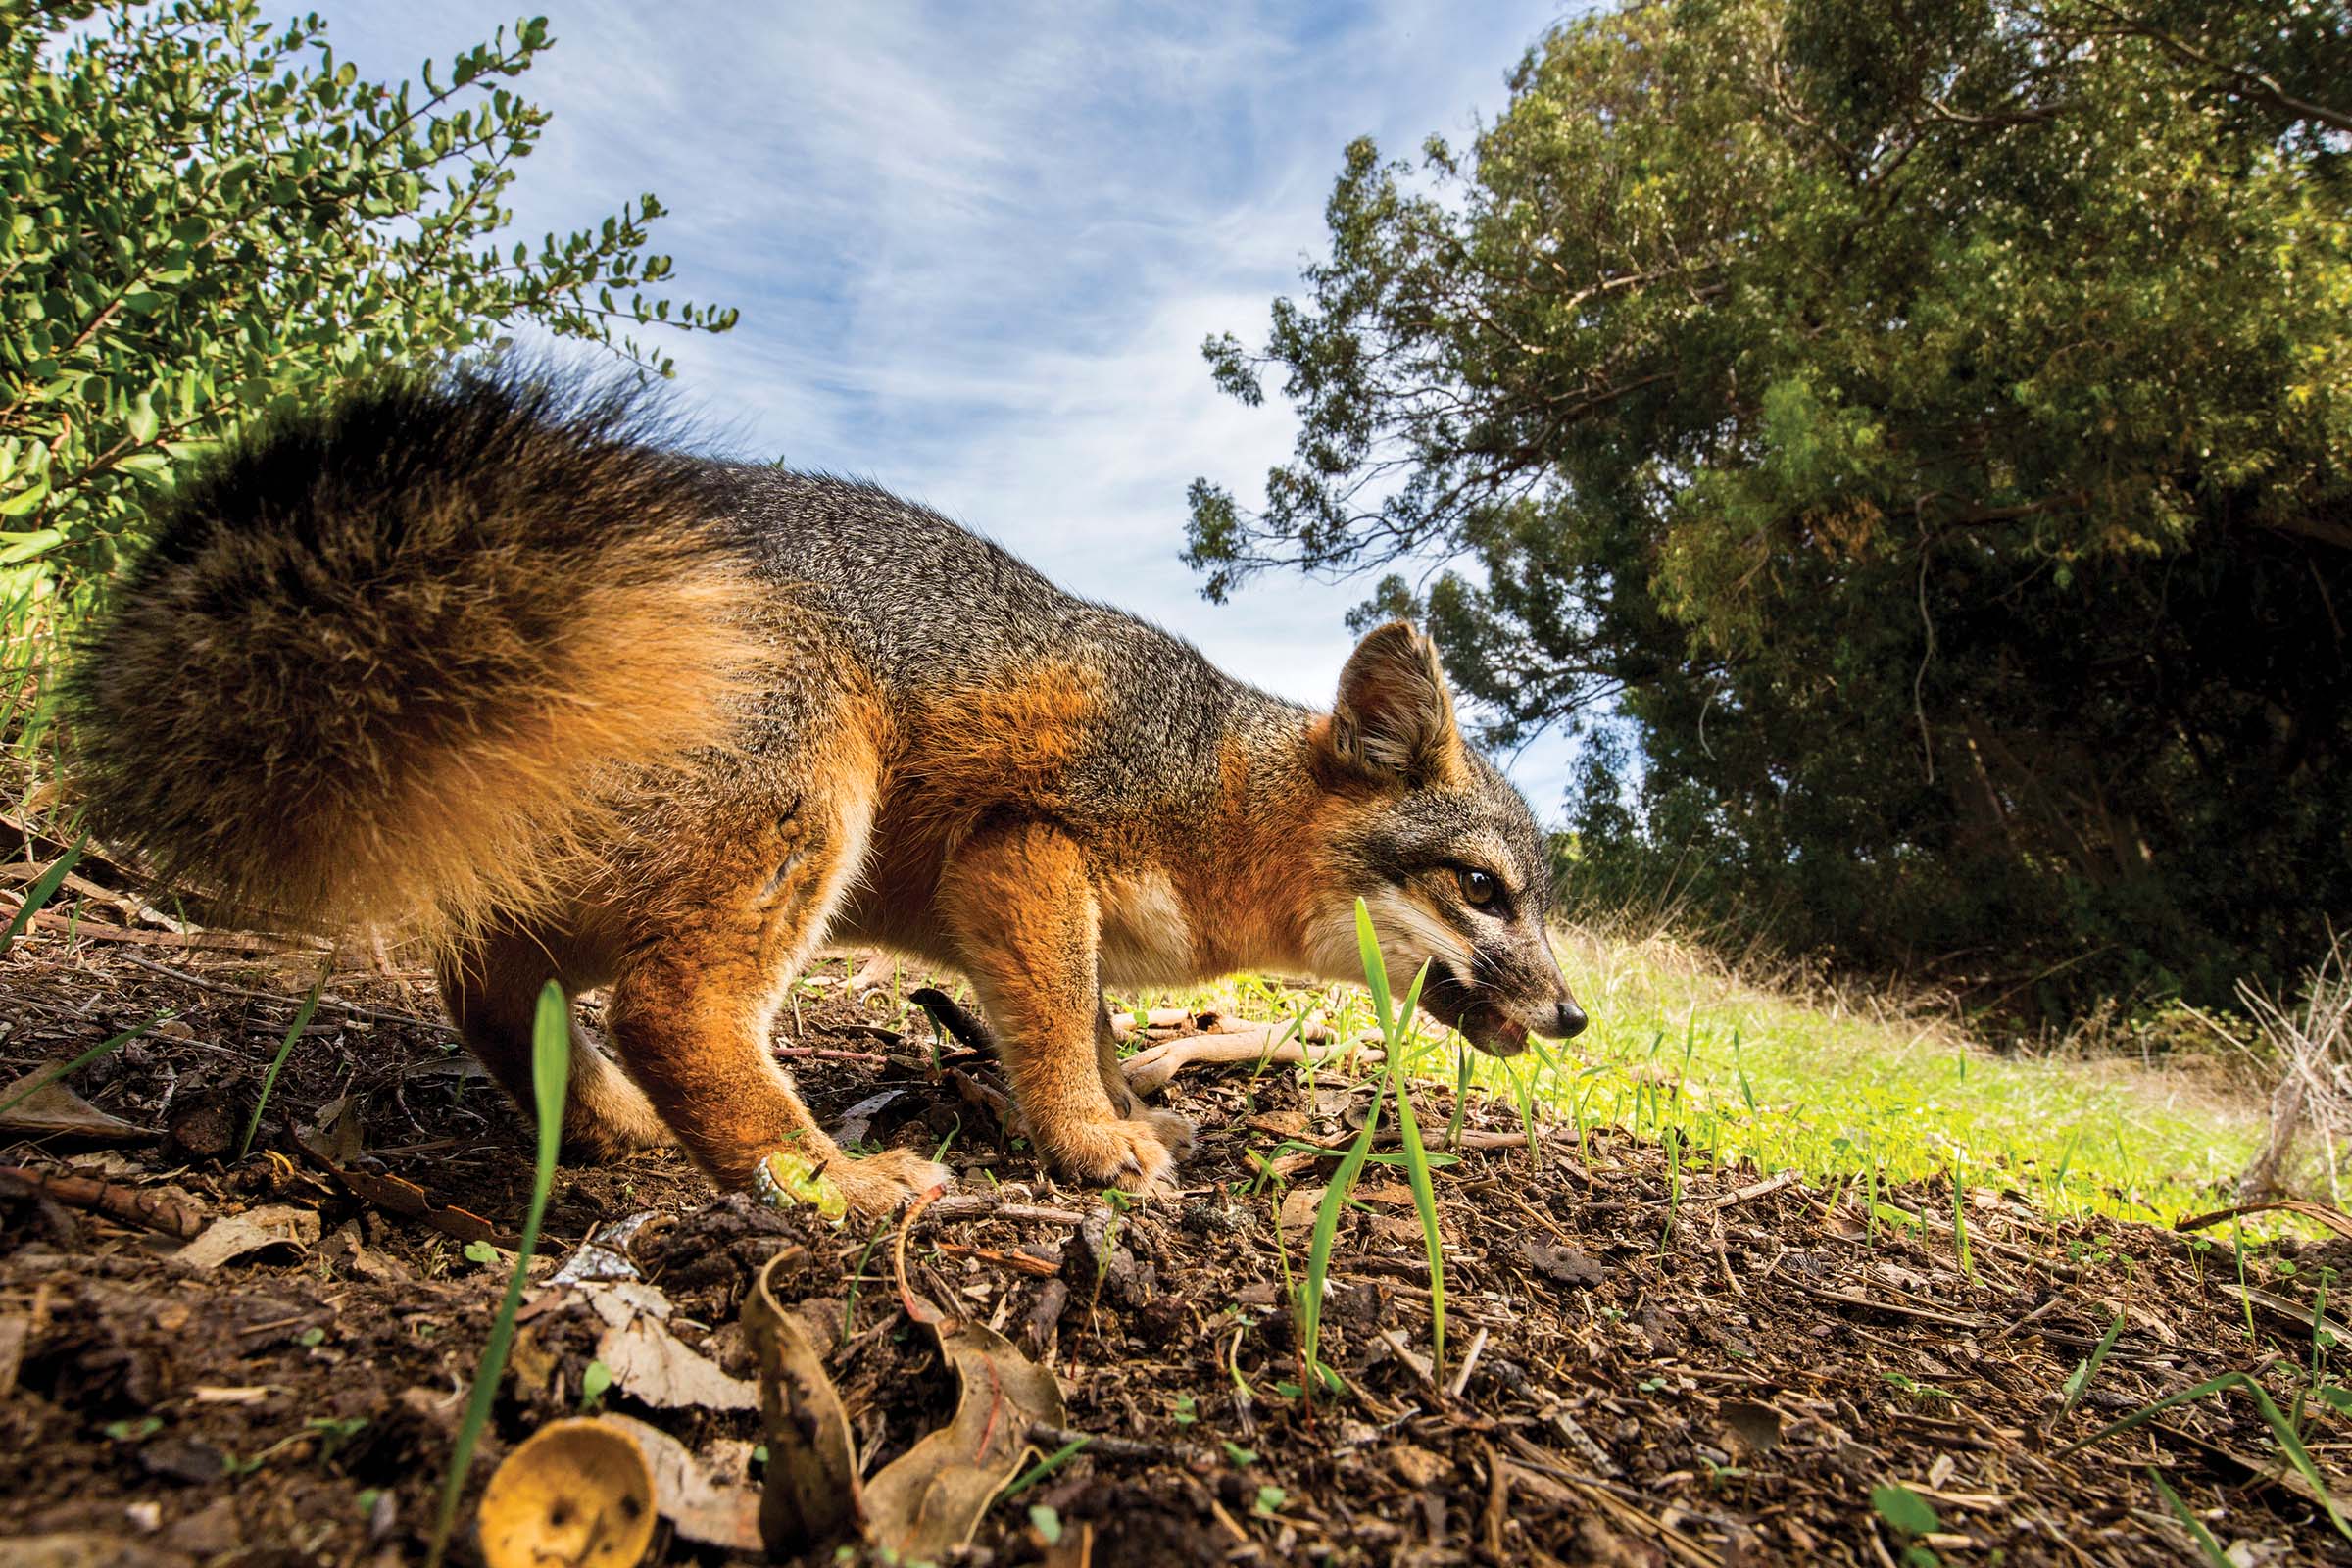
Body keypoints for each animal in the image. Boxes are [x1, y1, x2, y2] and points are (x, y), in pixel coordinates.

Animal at [64, 367, 1587, 1218]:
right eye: (1483, 890)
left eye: (1537, 901)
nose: (1574, 1016)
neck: (1220, 787)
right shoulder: (1026, 851)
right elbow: (1054, 1027)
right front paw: (1091, 1143)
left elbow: (1095, 1027)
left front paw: (1128, 1112)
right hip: (810, 800)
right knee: (673, 1015)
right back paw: (825, 1181)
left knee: (485, 980)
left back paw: (600, 1118)